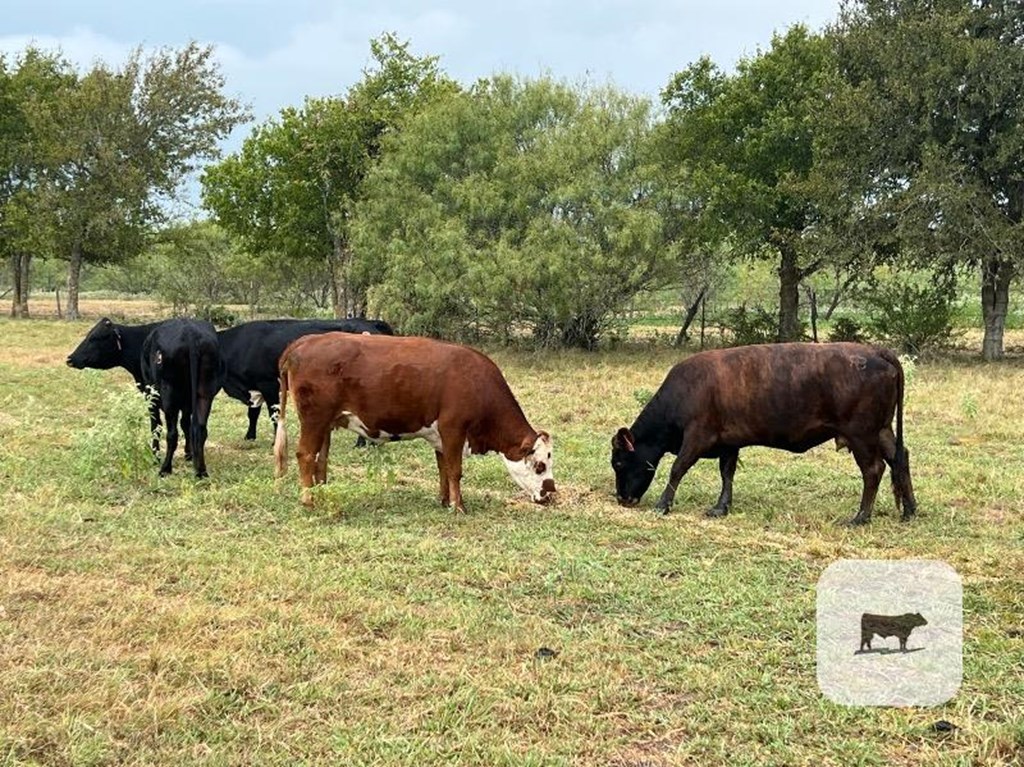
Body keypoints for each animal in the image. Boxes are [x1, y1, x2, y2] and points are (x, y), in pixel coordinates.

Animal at [141, 315, 223, 473]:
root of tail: (190, 333)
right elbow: (186, 423)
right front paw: (189, 454)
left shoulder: (151, 394)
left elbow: (156, 425)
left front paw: (155, 456)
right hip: (205, 392)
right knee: (200, 428)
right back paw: (201, 470)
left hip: (169, 393)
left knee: (172, 434)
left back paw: (165, 468)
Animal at [218, 317, 393, 440]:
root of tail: (368, 322)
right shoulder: (254, 388)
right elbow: (253, 414)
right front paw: (249, 437)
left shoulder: (268, 384)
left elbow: (274, 414)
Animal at [272, 333, 557, 507]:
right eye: (540, 466)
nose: (551, 494)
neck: (477, 384)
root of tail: (305, 341)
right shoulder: (453, 429)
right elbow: (455, 470)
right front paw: (459, 506)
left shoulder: (440, 435)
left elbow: (443, 468)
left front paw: (444, 500)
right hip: (314, 418)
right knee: (305, 455)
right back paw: (308, 500)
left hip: (326, 422)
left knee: (321, 459)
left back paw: (321, 494)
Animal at [610, 344, 917, 524]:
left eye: (619, 463)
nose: (622, 499)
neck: (685, 390)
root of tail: (876, 351)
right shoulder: (728, 441)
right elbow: (727, 473)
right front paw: (721, 507)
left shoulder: (698, 436)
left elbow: (677, 468)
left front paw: (663, 505)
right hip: (882, 430)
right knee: (900, 458)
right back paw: (910, 510)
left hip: (862, 434)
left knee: (874, 469)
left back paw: (860, 517)